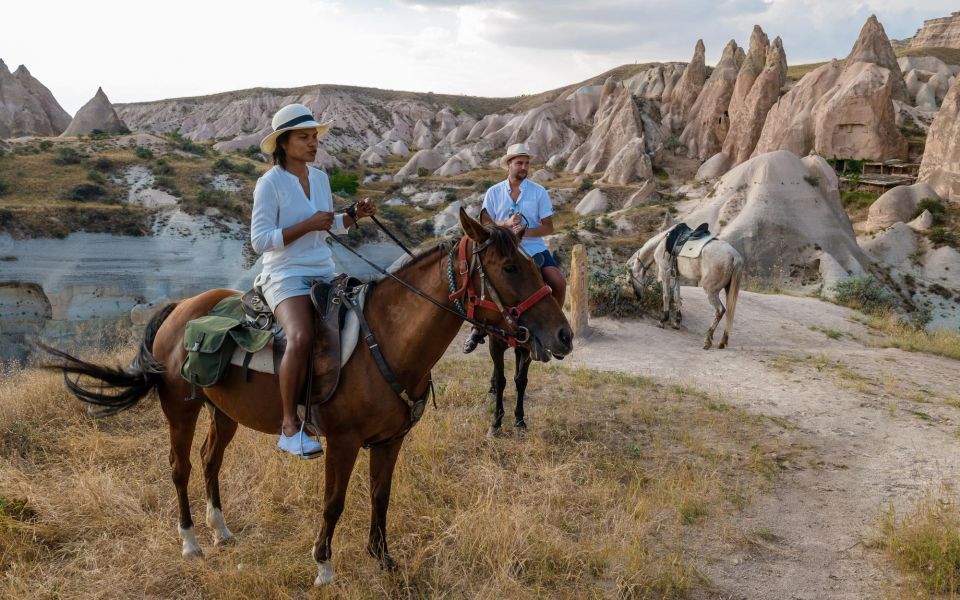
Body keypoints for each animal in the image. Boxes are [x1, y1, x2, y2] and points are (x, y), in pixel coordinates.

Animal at [43, 207, 568, 584]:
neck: (385, 341)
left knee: (211, 461)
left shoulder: (389, 441)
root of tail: (179, 309)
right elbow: (334, 503)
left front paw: (383, 559)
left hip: (223, 412)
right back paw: (191, 541)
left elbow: (381, 497)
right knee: (181, 468)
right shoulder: (343, 443)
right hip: (181, 409)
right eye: (508, 267)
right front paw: (324, 567)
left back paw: (221, 530)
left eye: (530, 262)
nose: (562, 335)